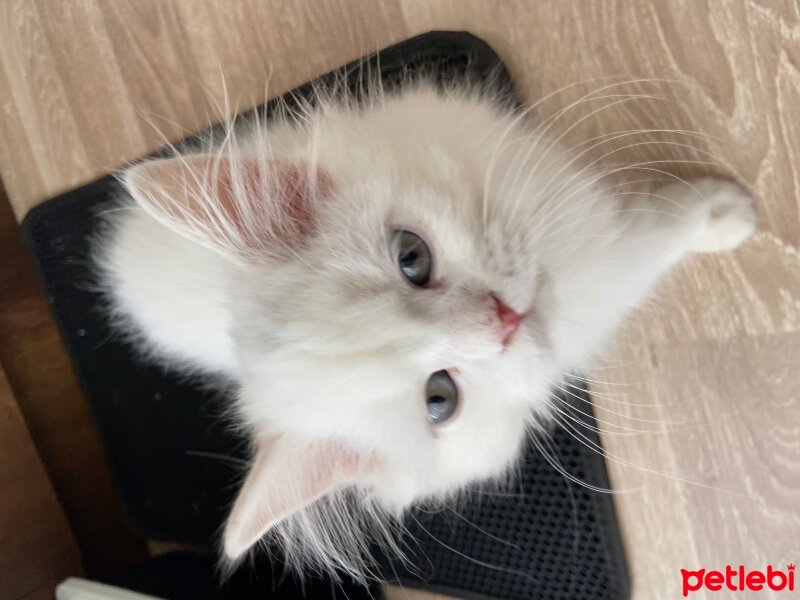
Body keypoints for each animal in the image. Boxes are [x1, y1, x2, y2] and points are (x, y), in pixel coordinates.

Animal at [97, 77, 752, 580]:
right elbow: (647, 241)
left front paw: (721, 210)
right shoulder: (605, 278)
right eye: (440, 399)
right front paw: (723, 216)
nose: (505, 320)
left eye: (410, 256)